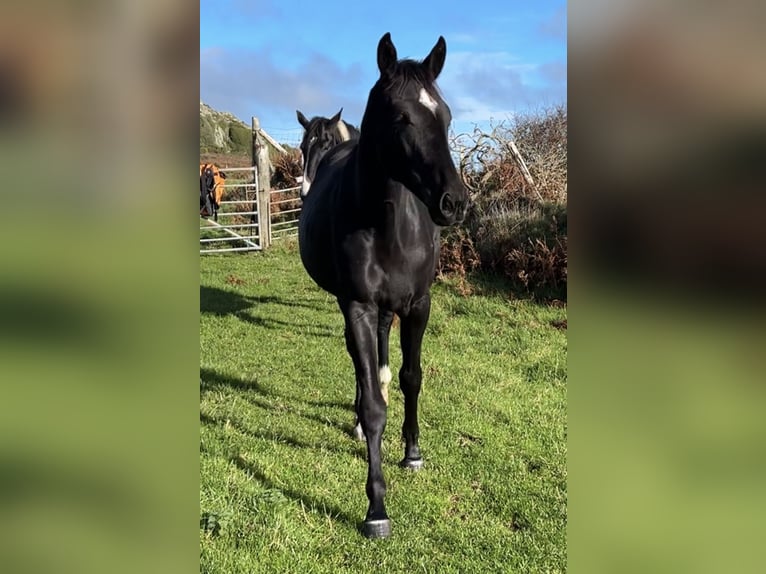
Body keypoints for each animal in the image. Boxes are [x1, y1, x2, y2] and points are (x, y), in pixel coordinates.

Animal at [298, 32, 468, 538]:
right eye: (402, 117)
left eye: (445, 115)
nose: (455, 202)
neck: (386, 224)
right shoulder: (356, 303)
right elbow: (374, 402)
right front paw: (376, 507)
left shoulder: (418, 304)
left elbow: (411, 377)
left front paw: (412, 452)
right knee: (361, 364)